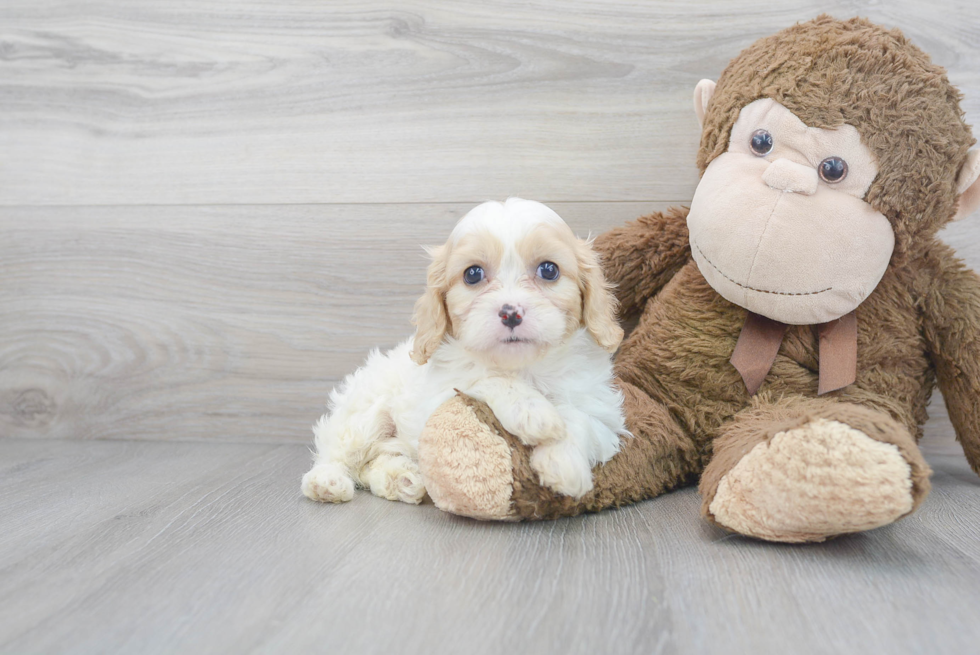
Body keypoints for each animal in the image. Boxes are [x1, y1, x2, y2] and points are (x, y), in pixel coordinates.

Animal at [298, 200, 628, 508]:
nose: (511, 313)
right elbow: (483, 377)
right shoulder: (438, 398)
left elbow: (581, 418)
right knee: (338, 451)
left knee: (374, 463)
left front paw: (563, 462)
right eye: (473, 274)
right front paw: (533, 412)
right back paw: (327, 482)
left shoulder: (601, 409)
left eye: (549, 270)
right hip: (365, 413)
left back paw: (403, 479)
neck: (521, 367)